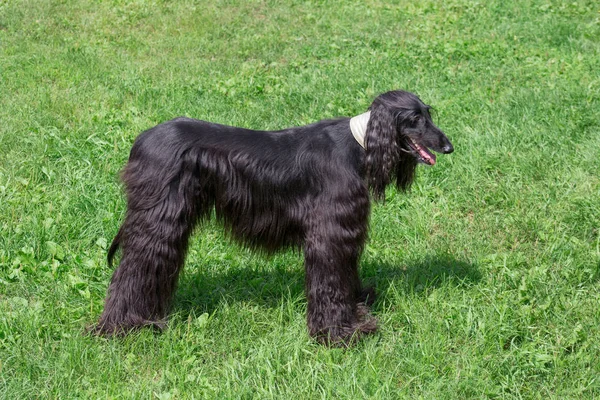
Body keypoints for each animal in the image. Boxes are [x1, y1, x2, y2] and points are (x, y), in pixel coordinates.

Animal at [94, 90, 452, 344]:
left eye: (428, 114)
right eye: (414, 118)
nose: (448, 146)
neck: (358, 143)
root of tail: (140, 141)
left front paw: (357, 308)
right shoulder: (330, 231)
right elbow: (331, 281)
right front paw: (338, 333)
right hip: (159, 222)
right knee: (133, 269)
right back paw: (123, 326)